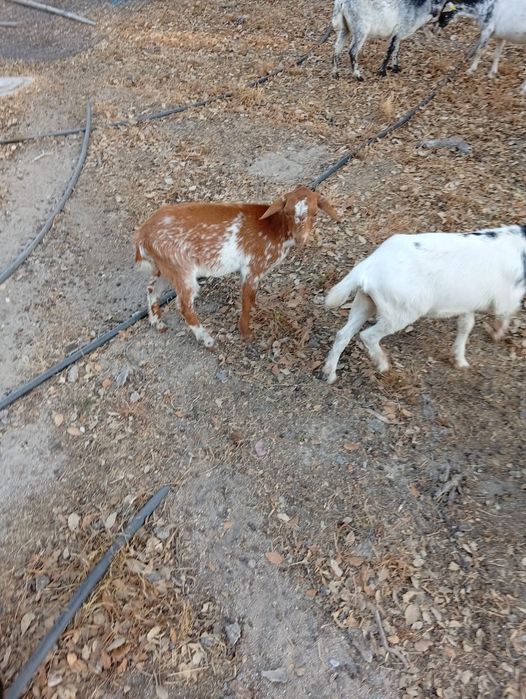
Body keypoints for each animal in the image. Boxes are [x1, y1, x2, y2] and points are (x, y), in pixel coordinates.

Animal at [134, 186, 339, 347]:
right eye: (287, 212)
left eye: (315, 213)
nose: (300, 239)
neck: (274, 229)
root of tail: (142, 235)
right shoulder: (252, 267)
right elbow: (246, 300)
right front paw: (246, 333)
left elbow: (253, 296)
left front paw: (258, 310)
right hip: (182, 269)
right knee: (184, 305)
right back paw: (206, 339)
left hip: (165, 267)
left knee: (151, 288)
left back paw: (157, 322)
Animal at [322, 225, 526, 383]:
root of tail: (368, 267)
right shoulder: (506, 300)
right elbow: (503, 317)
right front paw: (496, 335)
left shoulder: (467, 304)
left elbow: (466, 326)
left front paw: (460, 360)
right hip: (401, 313)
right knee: (368, 335)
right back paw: (383, 364)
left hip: (365, 302)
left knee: (343, 334)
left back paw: (330, 374)